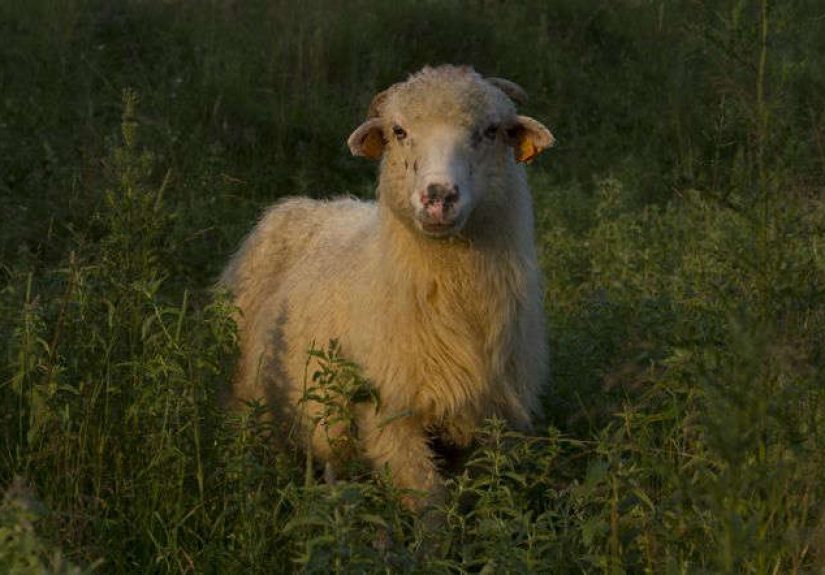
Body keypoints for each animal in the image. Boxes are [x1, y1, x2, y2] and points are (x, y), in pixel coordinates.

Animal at [220, 65, 554, 510]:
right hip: (246, 399)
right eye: (399, 131)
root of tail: (304, 203)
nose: (438, 196)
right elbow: (430, 503)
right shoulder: (391, 419)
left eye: (491, 130)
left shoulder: (499, 421)